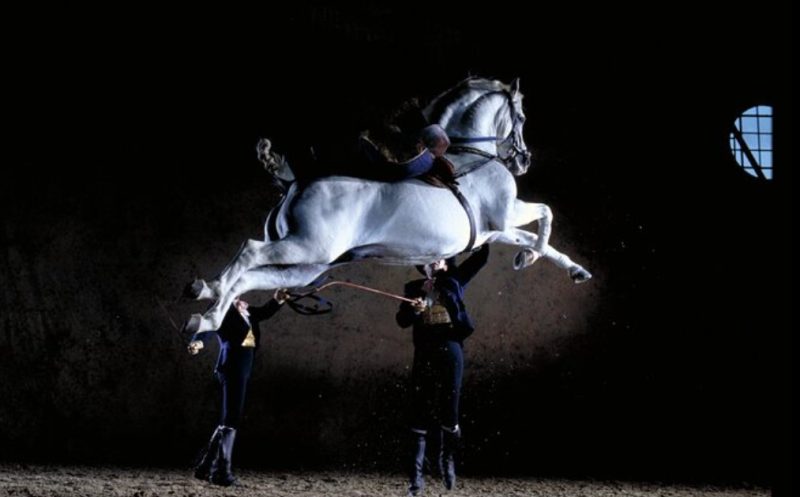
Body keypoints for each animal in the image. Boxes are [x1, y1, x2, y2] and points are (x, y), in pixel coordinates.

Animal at [183, 77, 591, 335]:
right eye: (521, 116)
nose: (524, 161)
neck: (470, 154)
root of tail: (293, 183)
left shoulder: (493, 231)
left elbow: (536, 236)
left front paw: (569, 268)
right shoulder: (506, 215)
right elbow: (546, 214)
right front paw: (529, 257)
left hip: (306, 267)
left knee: (249, 278)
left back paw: (205, 314)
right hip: (306, 247)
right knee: (249, 252)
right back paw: (208, 294)